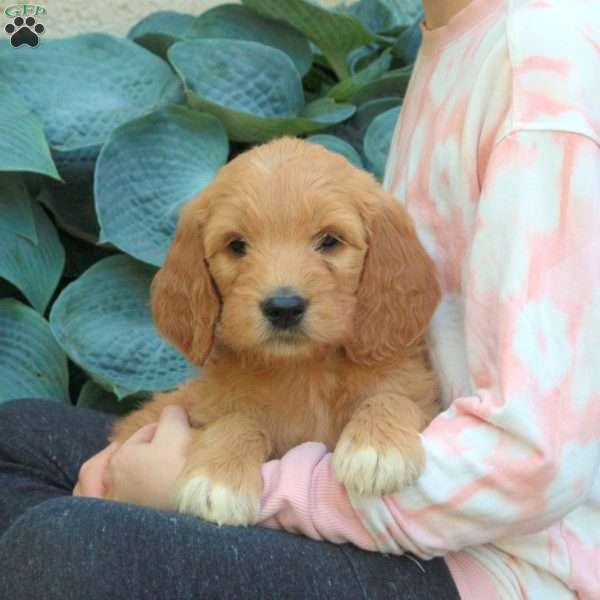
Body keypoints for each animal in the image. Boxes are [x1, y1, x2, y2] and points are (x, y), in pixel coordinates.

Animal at [109, 136, 440, 524]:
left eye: (330, 240)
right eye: (237, 245)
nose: (284, 308)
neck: (304, 371)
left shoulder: (417, 390)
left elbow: (393, 396)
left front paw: (376, 448)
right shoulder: (208, 406)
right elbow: (236, 420)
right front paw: (217, 478)